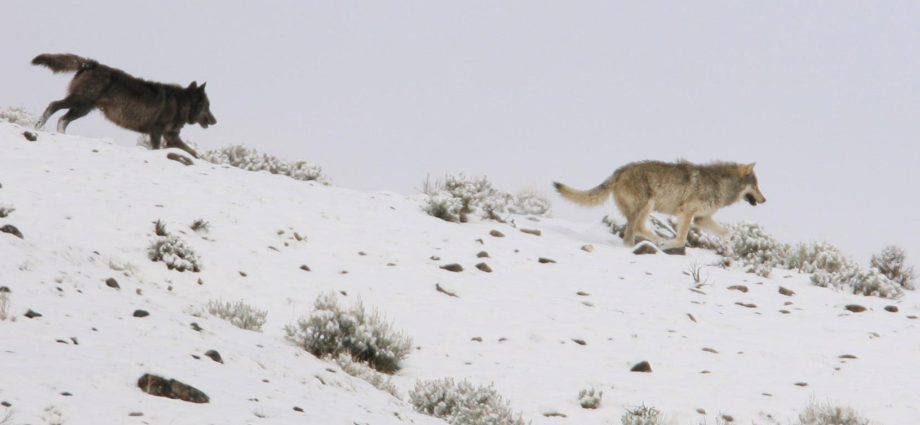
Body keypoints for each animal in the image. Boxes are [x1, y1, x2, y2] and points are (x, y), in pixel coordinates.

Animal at [32, 53, 216, 158]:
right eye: (207, 106)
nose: (215, 121)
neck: (181, 103)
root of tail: (92, 64)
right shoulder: (157, 133)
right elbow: (159, 149)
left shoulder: (171, 137)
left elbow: (192, 152)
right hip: (80, 103)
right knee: (53, 105)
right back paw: (40, 124)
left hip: (83, 109)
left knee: (63, 119)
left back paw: (62, 135)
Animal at [554, 160, 766, 249]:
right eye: (756, 185)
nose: (765, 200)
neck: (720, 185)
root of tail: (619, 171)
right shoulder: (687, 212)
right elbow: (681, 240)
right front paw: (668, 243)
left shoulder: (700, 218)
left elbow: (727, 234)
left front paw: (729, 251)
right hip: (647, 205)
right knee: (637, 229)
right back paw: (657, 241)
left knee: (632, 234)